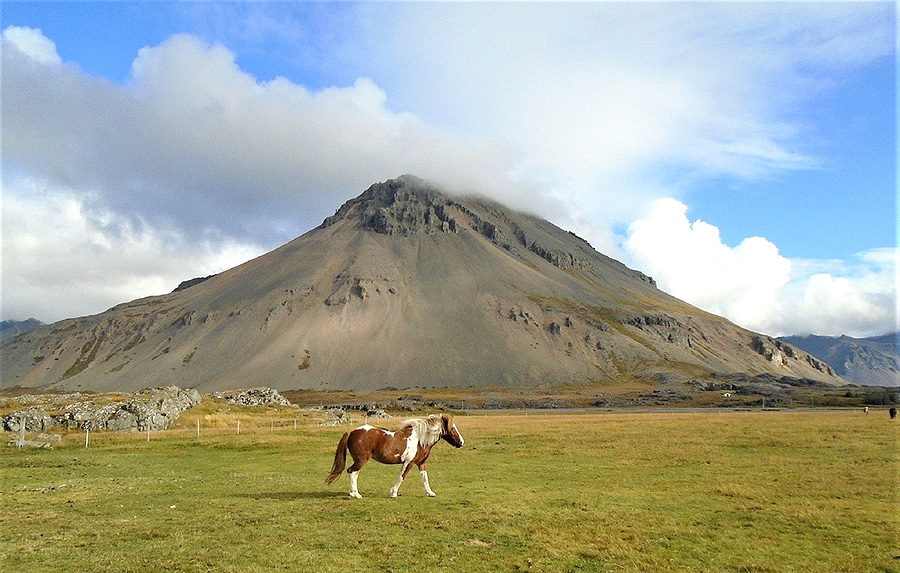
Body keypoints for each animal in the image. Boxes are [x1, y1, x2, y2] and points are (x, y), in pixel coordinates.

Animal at [324, 412, 464, 496]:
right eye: (452, 428)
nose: (461, 442)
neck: (420, 439)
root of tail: (351, 432)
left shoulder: (421, 463)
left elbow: (425, 478)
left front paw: (430, 493)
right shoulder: (409, 463)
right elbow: (402, 476)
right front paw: (393, 493)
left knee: (354, 473)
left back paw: (353, 492)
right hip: (361, 460)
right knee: (351, 472)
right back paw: (356, 494)